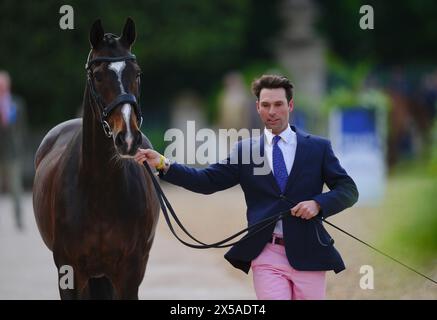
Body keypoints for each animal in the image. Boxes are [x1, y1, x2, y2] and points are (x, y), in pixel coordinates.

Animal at [32, 18, 159, 300]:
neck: (99, 189)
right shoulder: (69, 272)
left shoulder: (130, 273)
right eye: (98, 75)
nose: (128, 138)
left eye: (137, 73)